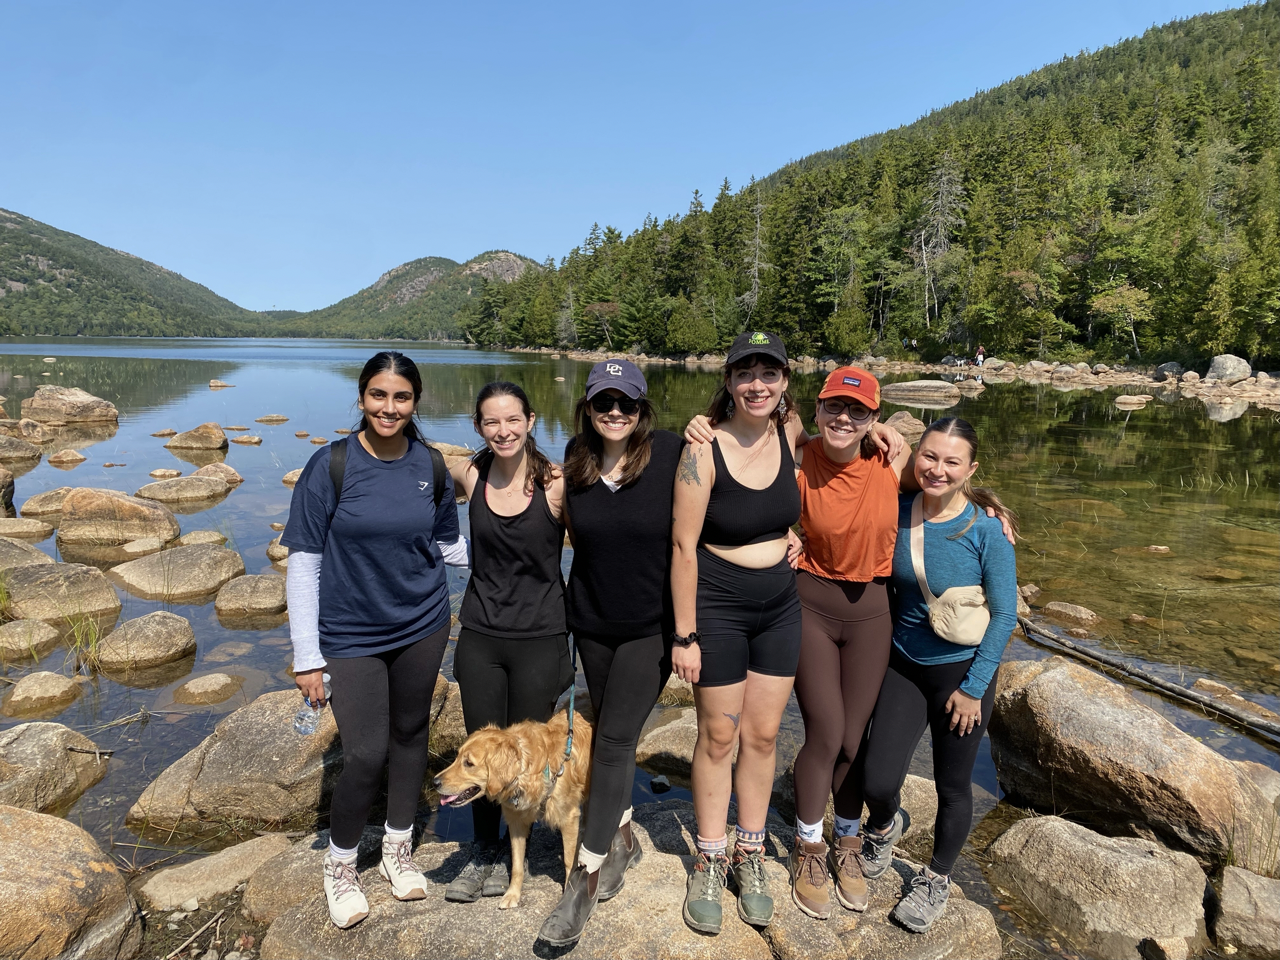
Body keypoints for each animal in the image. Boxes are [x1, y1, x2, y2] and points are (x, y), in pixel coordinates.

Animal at [430, 716, 588, 911]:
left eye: (469, 763)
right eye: (457, 757)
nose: (434, 782)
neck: (526, 772)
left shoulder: (568, 818)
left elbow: (568, 860)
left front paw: (568, 894)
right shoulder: (516, 823)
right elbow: (517, 866)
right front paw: (512, 894)